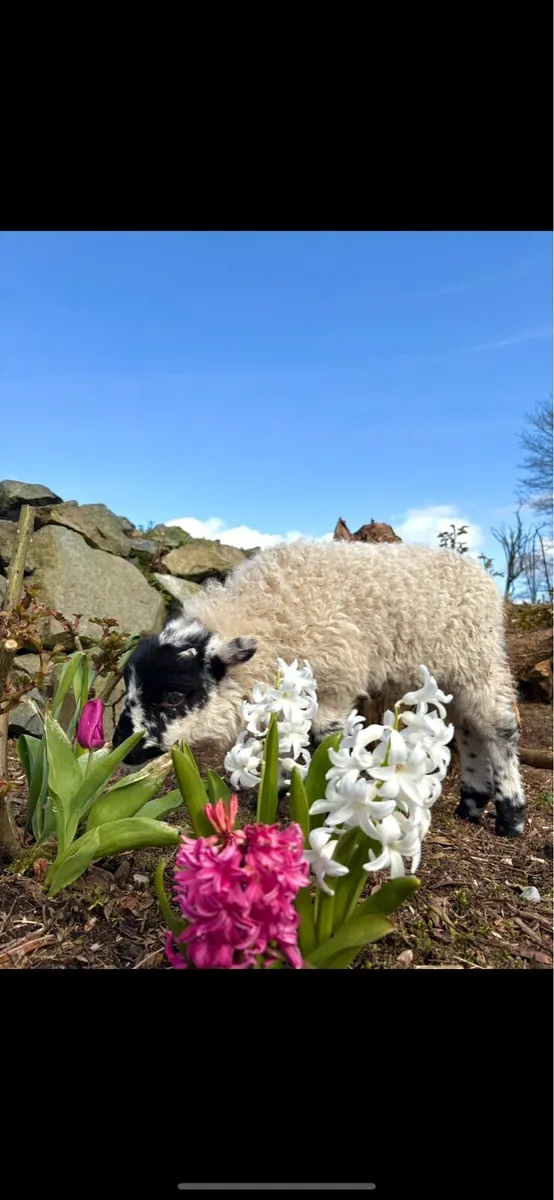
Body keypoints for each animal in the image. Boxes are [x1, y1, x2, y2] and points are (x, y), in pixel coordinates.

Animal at [112, 538, 526, 837]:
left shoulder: (336, 681)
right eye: (129, 685)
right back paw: (472, 804)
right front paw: (279, 789)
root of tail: (477, 574)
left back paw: (511, 816)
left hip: (479, 659)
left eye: (173, 697)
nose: (122, 748)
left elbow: (326, 739)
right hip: (452, 673)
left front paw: (323, 795)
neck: (269, 610)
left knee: (499, 728)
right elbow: (282, 738)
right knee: (469, 729)